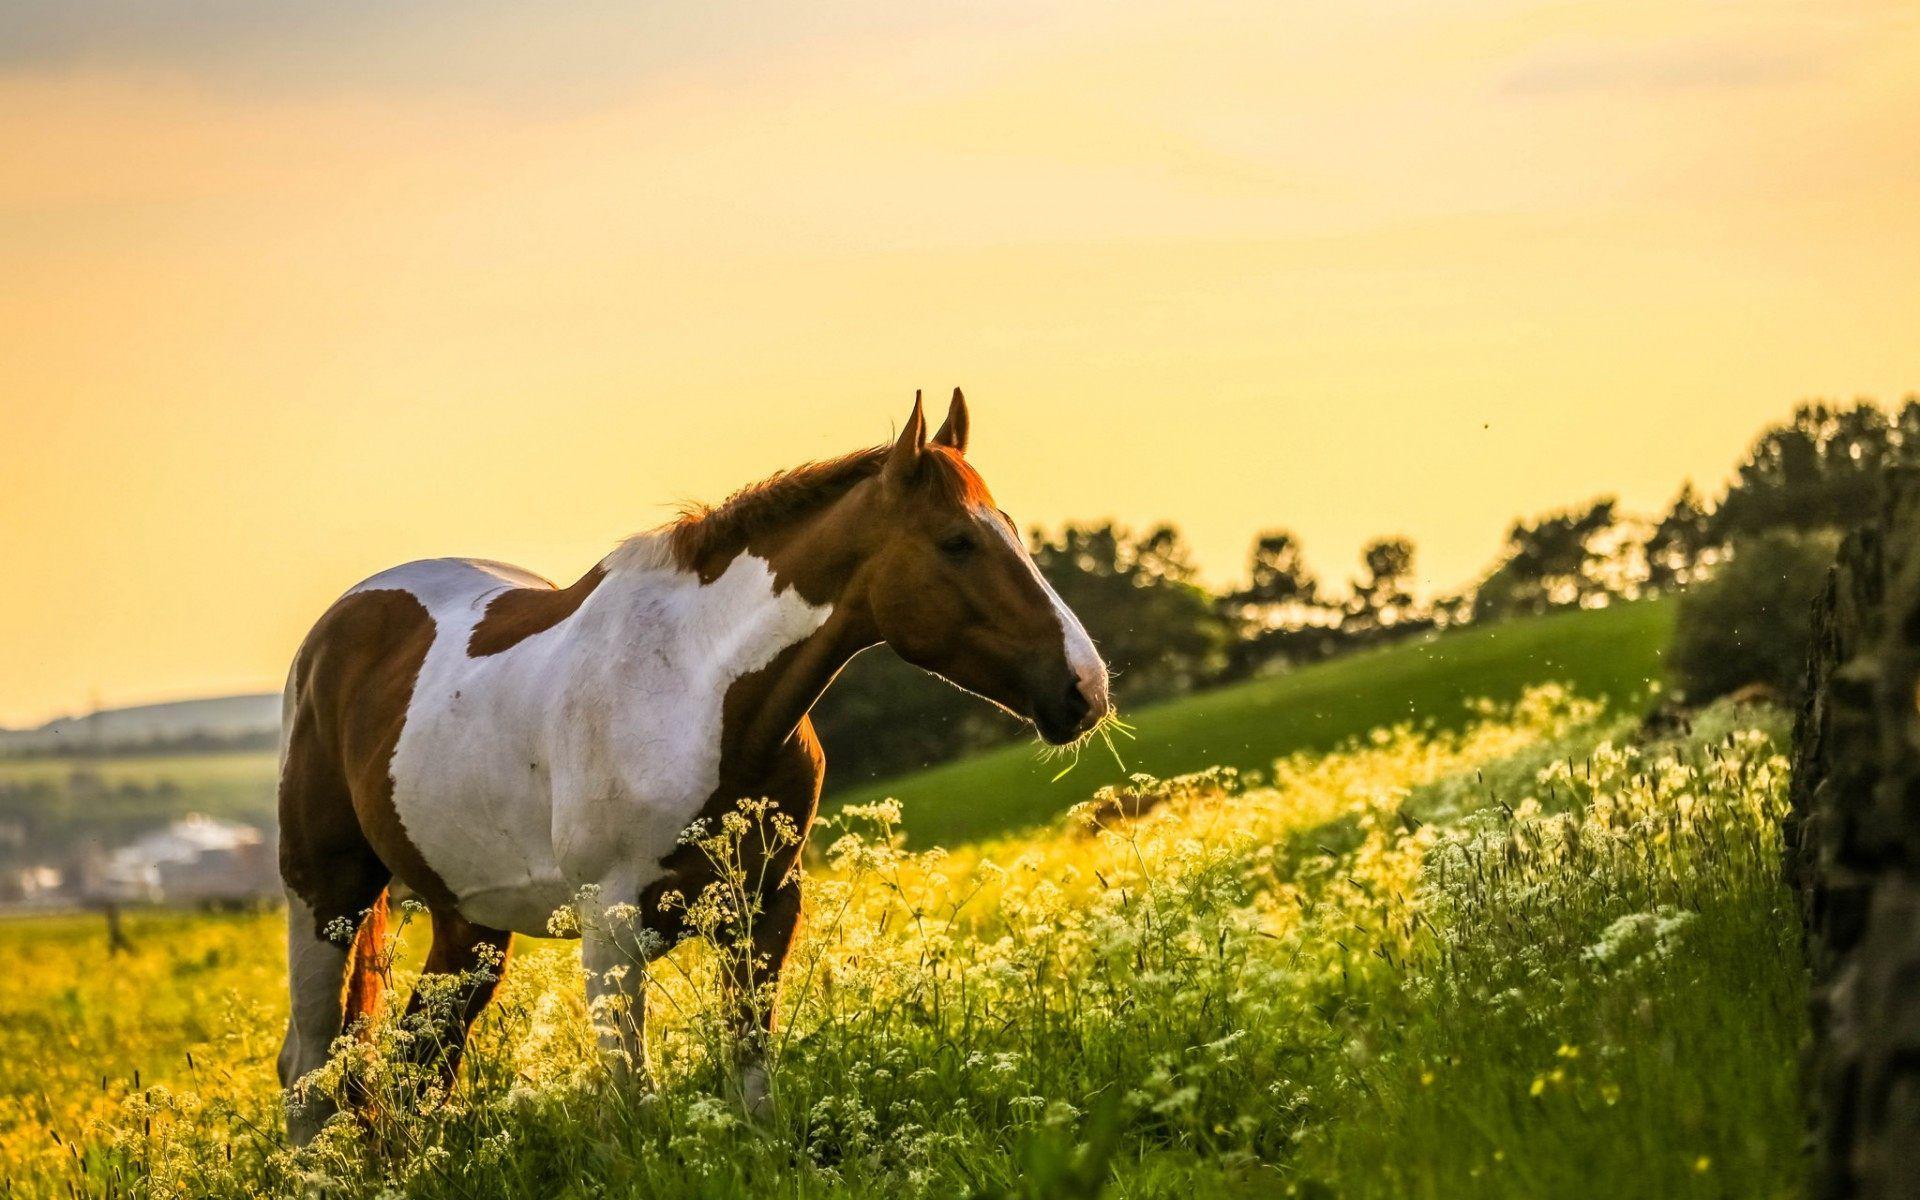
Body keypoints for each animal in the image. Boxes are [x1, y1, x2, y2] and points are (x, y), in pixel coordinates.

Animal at [274, 393, 1113, 1144]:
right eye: (956, 542)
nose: (1086, 687)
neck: (697, 685)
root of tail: (332, 634)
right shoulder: (610, 927)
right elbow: (631, 1094)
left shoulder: (766, 904)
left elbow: (750, 1061)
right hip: (327, 897)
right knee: (308, 1063)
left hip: (468, 922)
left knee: (421, 1059)